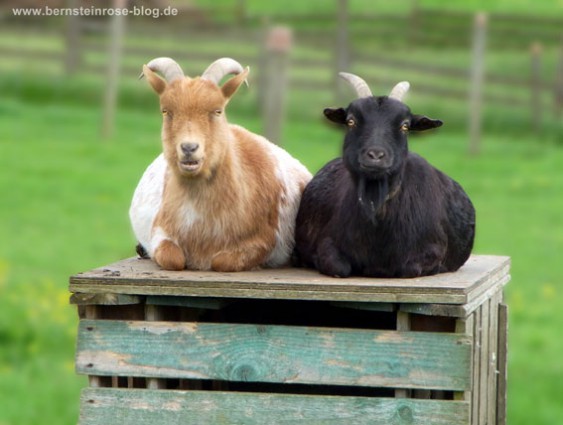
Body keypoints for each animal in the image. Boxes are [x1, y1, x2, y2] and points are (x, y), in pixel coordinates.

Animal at [129, 57, 312, 272]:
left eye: (218, 110)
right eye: (166, 111)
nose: (189, 147)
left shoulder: (265, 241)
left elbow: (221, 261)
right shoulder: (160, 229)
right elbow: (173, 258)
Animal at [296, 73, 476, 278]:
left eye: (405, 126)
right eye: (351, 121)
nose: (376, 155)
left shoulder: (433, 250)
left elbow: (408, 268)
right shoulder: (327, 242)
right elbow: (337, 266)